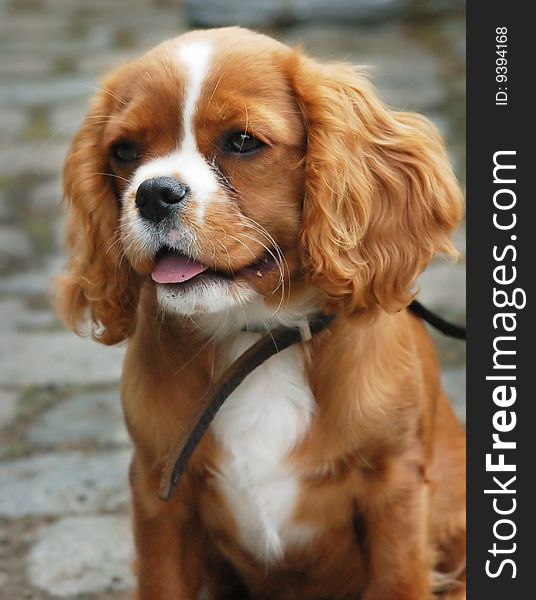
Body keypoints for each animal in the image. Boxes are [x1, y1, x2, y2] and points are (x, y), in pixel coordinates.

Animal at [57, 25, 464, 596]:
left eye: (243, 142)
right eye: (124, 151)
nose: (153, 193)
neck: (255, 331)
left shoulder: (395, 491)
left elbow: (399, 578)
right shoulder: (159, 494)